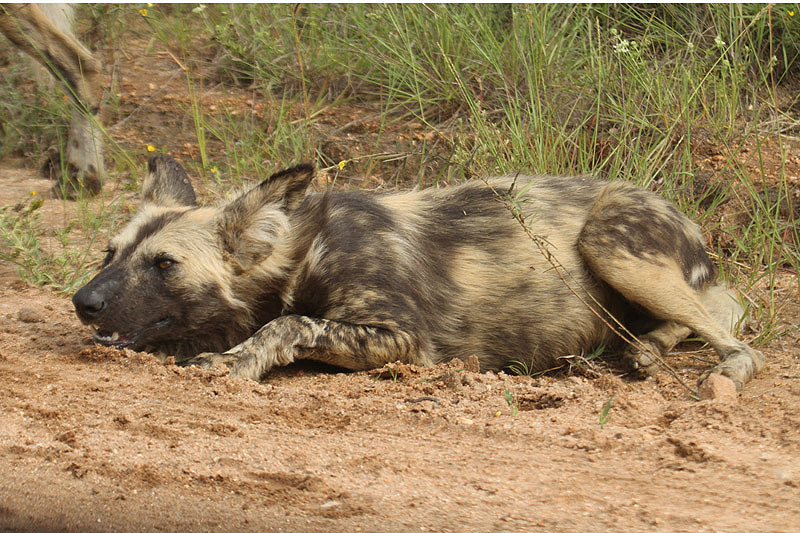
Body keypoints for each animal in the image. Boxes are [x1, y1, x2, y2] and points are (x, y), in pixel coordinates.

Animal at [73, 156, 764, 388]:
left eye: (164, 265)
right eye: (110, 254)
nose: (82, 302)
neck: (303, 253)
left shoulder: (405, 342)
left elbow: (291, 324)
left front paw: (233, 363)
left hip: (610, 245)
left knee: (738, 340)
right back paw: (642, 350)